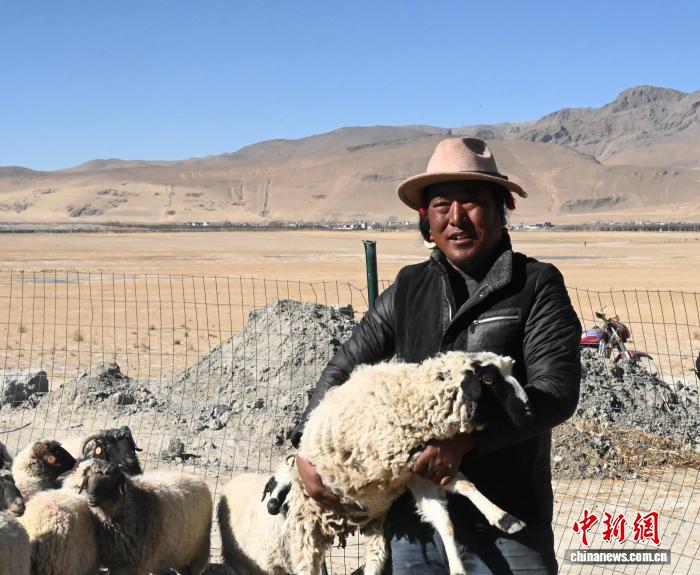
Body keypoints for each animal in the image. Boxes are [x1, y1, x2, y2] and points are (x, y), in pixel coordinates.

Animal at [79, 458, 212, 575]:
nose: (92, 498)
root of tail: (195, 478)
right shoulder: (116, 562)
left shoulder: (140, 563)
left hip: (200, 550)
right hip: (179, 552)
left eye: (110, 482)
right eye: (88, 479)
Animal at [219, 351, 531, 575]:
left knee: (373, 562)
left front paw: (504, 520)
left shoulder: (421, 467)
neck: (412, 401)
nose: (528, 409)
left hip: (374, 528)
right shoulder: (405, 462)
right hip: (305, 530)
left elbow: (452, 506)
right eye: (488, 380)